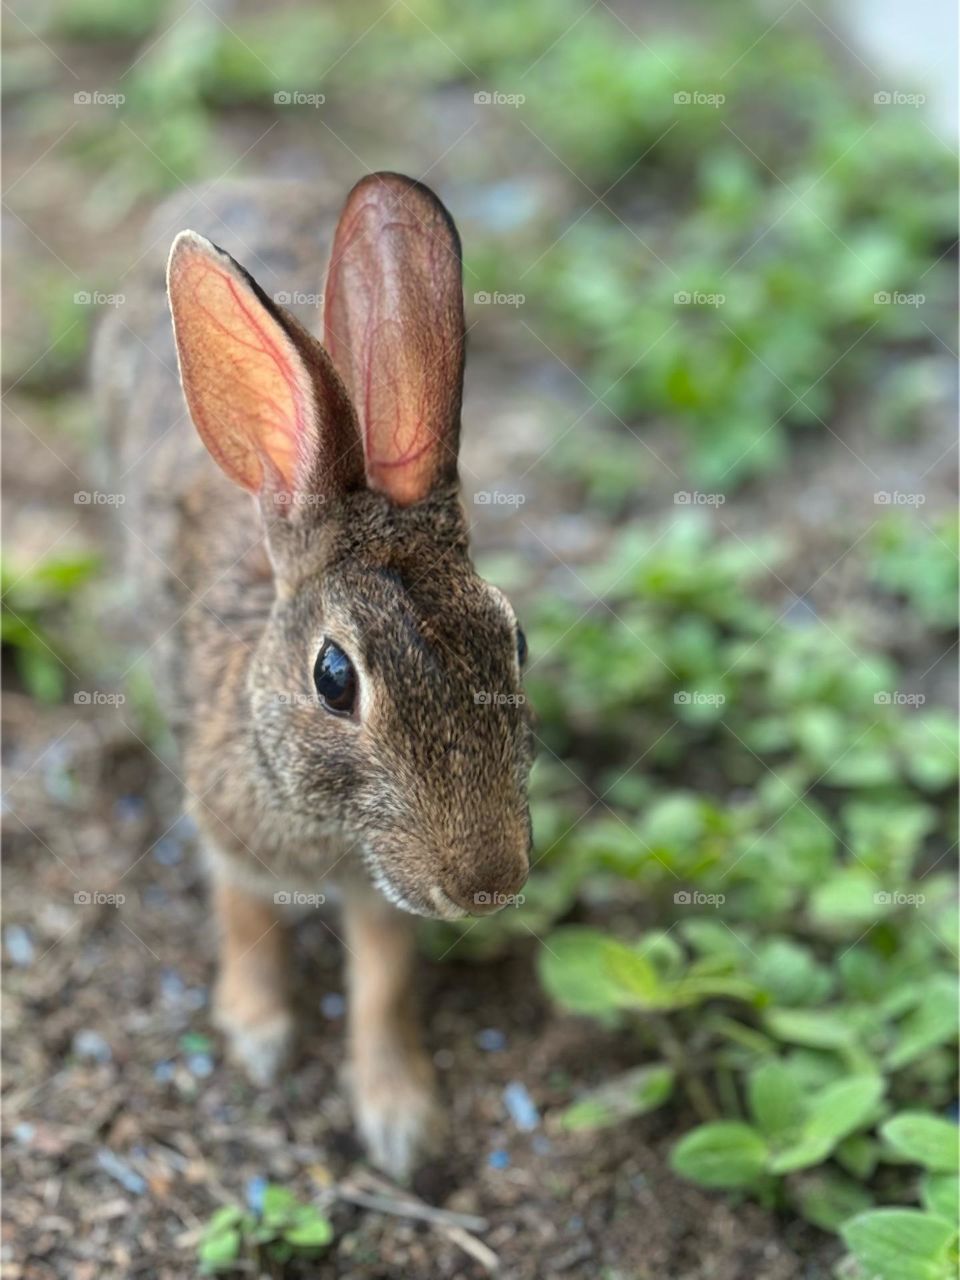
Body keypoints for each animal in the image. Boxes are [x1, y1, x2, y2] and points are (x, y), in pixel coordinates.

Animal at [94, 175, 535, 1172]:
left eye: (516, 640)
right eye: (335, 678)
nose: (489, 887)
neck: (327, 826)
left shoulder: (381, 895)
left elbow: (382, 983)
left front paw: (400, 1118)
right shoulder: (228, 826)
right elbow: (244, 921)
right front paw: (258, 1034)